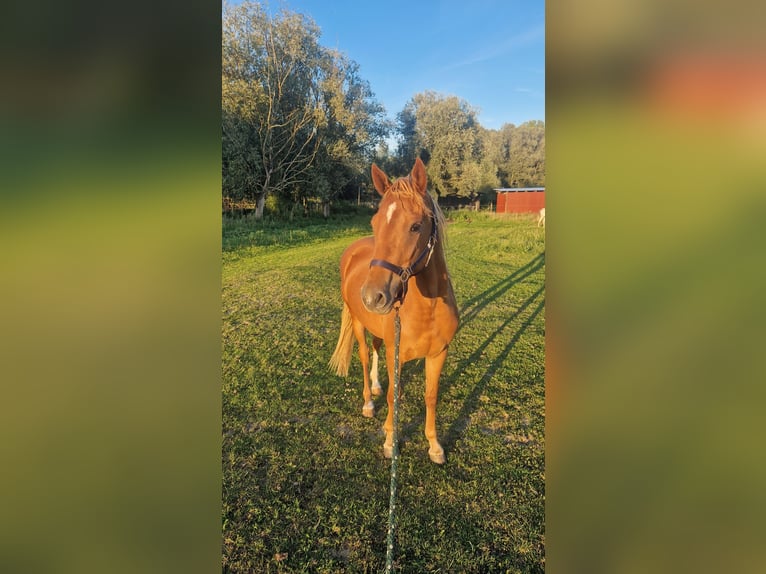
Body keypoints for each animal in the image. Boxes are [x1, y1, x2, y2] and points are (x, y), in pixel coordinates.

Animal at [328, 160, 460, 466]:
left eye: (415, 226)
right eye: (375, 223)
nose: (372, 297)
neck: (427, 310)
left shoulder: (439, 353)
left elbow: (431, 396)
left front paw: (434, 445)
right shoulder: (395, 353)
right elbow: (393, 396)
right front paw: (390, 440)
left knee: (376, 349)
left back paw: (376, 385)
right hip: (358, 324)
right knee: (365, 356)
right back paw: (368, 401)